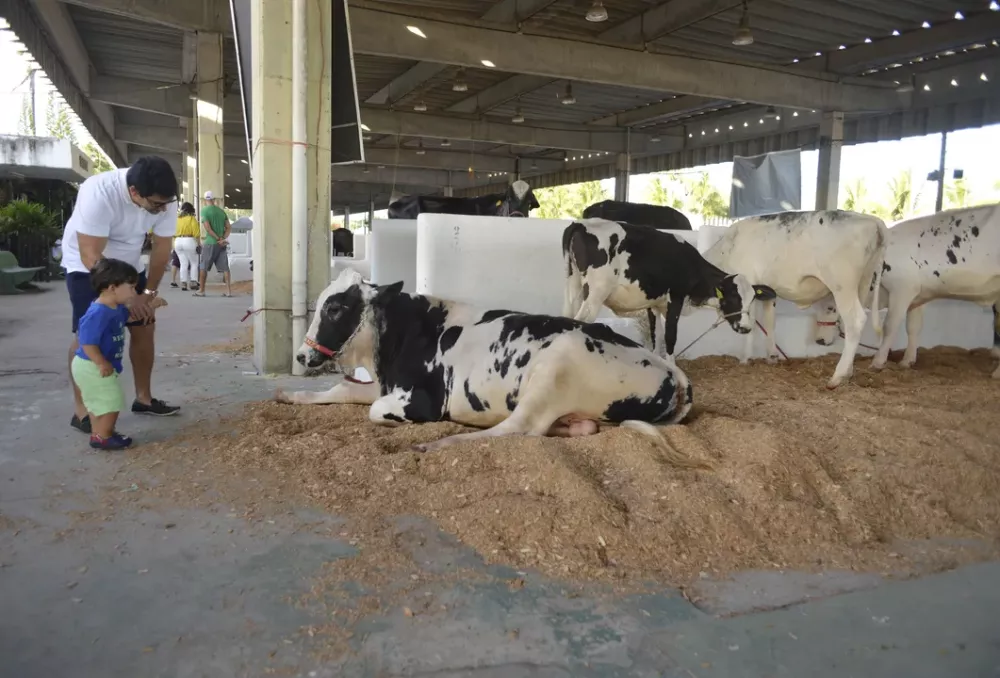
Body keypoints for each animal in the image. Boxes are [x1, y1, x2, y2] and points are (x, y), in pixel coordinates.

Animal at [274, 270, 708, 468]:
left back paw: (439, 443)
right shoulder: (384, 383)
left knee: (520, 428)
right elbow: (341, 390)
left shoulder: (422, 400)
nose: (302, 357)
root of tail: (671, 370)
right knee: (569, 427)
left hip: (555, 366)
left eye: (336, 307)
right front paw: (288, 394)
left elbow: (374, 411)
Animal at [560, 220, 776, 362]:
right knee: (580, 321)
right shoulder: (676, 299)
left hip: (574, 285)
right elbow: (670, 337)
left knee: (566, 317)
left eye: (751, 300)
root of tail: (580, 224)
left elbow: (657, 336)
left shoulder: (654, 303)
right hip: (596, 293)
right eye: (732, 296)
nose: (746, 327)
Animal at [812, 205, 1000, 380]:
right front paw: (907, 360)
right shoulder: (917, 296)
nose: (819, 341)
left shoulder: (902, 289)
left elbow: (890, 326)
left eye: (830, 308)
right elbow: (913, 327)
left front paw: (878, 362)